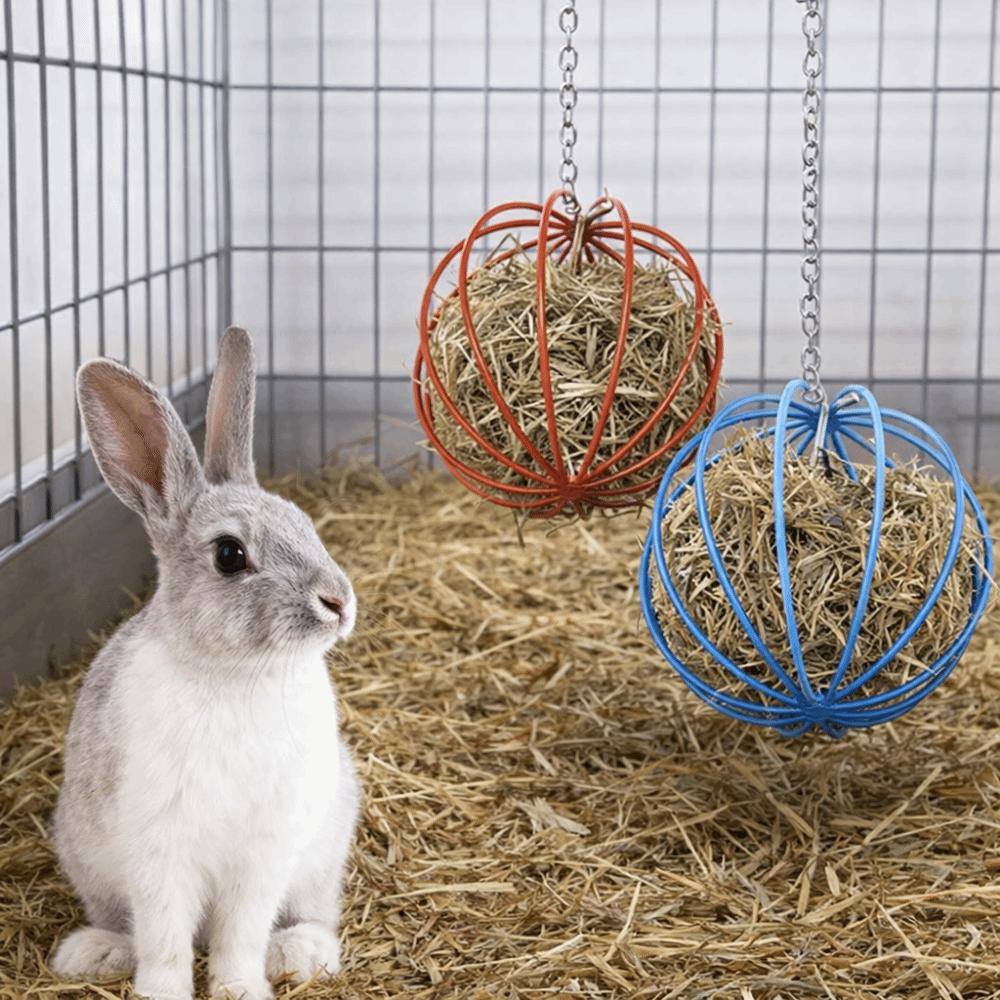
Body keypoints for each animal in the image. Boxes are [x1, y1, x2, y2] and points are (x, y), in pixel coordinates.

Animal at [49, 326, 360, 1000]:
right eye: (229, 555)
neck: (236, 675)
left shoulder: (265, 851)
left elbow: (239, 934)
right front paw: (163, 992)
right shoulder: (159, 852)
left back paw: (300, 954)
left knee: (311, 915)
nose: (339, 602)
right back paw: (94, 952)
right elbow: (164, 940)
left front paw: (240, 988)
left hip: (322, 855)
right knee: (128, 926)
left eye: (304, 521)